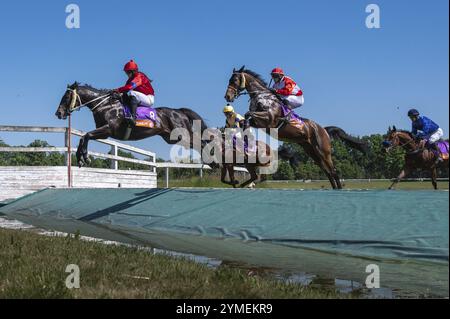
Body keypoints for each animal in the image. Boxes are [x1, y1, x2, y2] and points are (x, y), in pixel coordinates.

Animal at [55, 82, 207, 168]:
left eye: (66, 97)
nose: (58, 113)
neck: (105, 106)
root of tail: (179, 111)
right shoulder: (103, 133)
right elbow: (83, 137)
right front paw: (80, 158)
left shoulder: (107, 130)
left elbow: (86, 135)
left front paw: (85, 157)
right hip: (171, 138)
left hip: (183, 135)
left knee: (201, 143)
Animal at [223, 66, 368, 189]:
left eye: (234, 80)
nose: (227, 96)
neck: (262, 97)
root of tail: (324, 130)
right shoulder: (259, 123)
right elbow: (245, 119)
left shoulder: (269, 120)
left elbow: (248, 114)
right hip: (312, 152)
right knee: (328, 172)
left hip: (324, 151)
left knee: (333, 170)